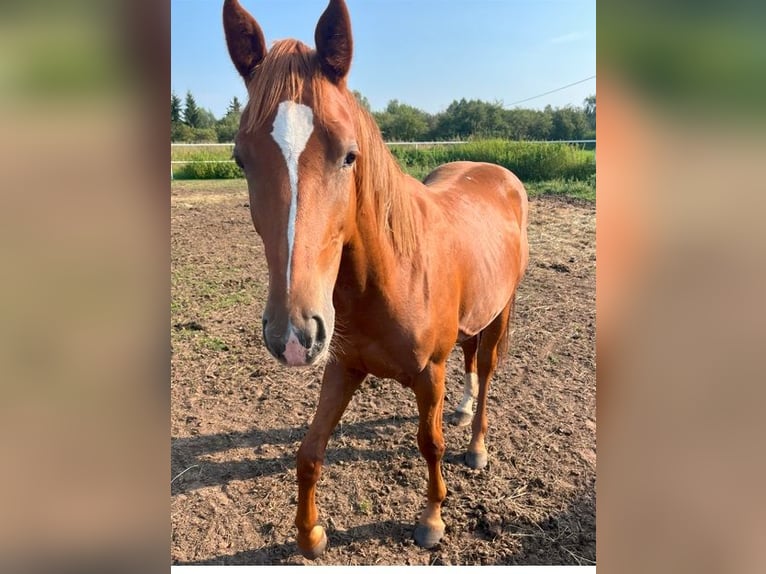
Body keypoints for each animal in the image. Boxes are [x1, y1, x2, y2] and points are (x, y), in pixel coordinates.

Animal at [225, 0, 532, 560]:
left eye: (349, 155)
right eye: (241, 158)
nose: (293, 334)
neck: (388, 276)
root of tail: (497, 171)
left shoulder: (428, 373)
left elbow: (430, 444)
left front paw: (431, 520)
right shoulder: (342, 366)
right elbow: (309, 450)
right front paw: (310, 535)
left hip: (503, 312)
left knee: (488, 369)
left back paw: (476, 445)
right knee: (471, 360)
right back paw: (462, 409)